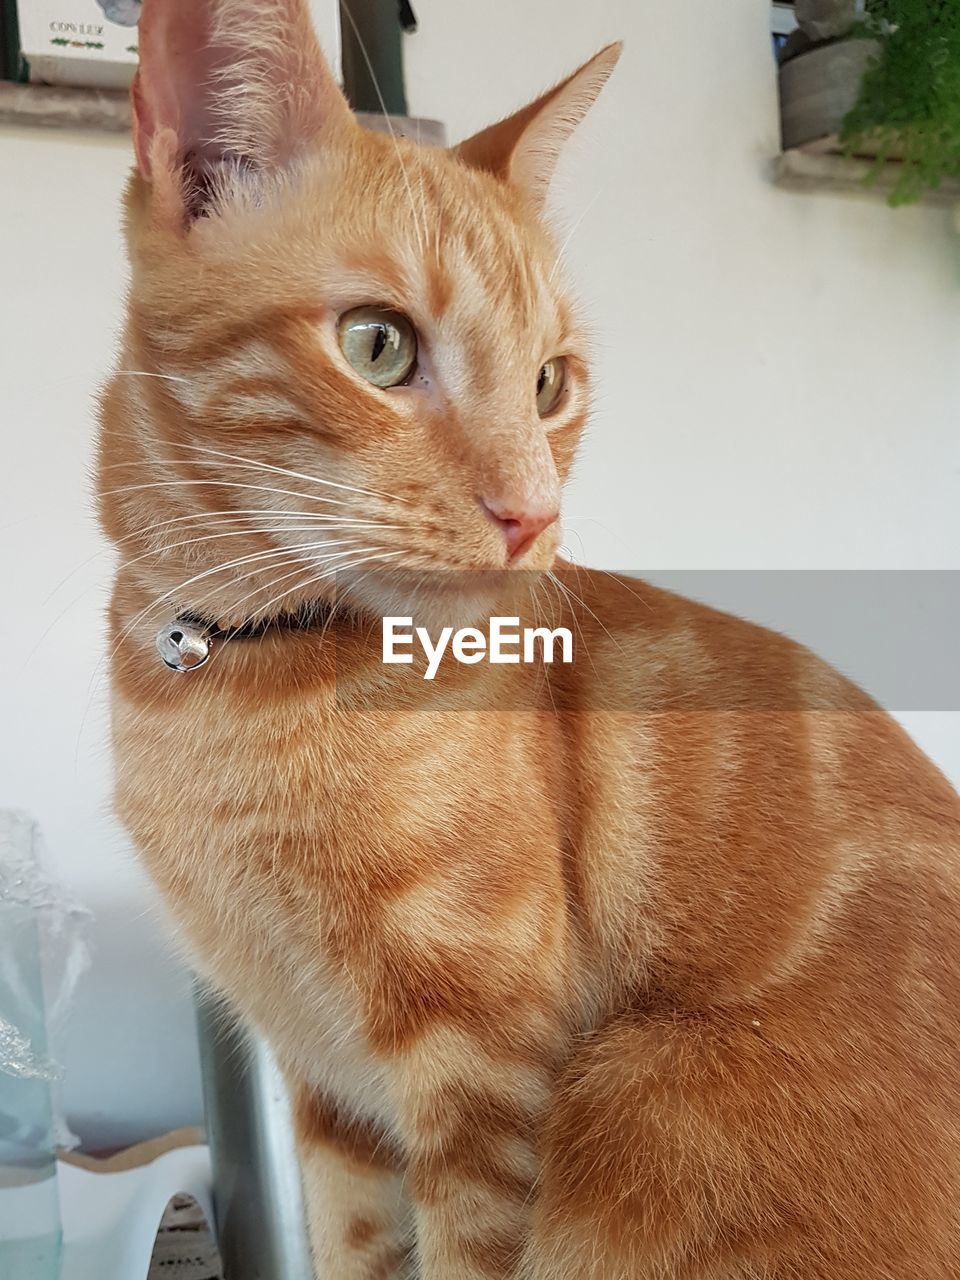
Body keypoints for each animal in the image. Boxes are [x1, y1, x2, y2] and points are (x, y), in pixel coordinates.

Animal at [96, 2, 960, 1280]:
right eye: (378, 345)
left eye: (551, 384)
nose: (533, 515)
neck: (235, 685)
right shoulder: (330, 1100)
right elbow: (356, 1248)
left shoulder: (481, 1065)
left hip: (639, 1101)